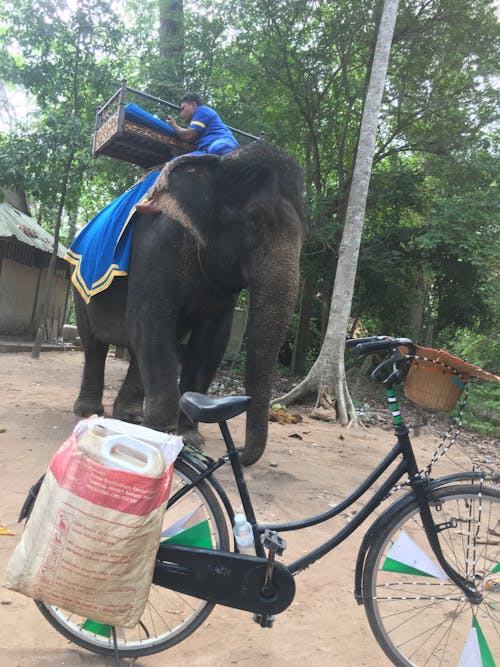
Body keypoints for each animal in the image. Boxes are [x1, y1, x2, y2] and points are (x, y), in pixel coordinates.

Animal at [73, 142, 308, 464]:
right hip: (78, 282)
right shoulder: (156, 245)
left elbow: (211, 340)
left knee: (139, 348)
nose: (240, 453)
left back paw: (131, 418)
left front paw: (190, 437)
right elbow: (148, 320)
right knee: (95, 344)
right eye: (253, 221)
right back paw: (88, 412)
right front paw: (164, 435)